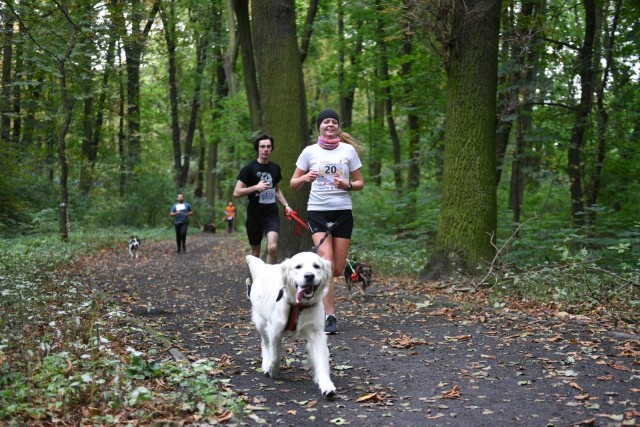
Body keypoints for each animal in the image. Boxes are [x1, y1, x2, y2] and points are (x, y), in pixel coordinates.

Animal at [245, 252, 338, 400]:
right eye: (298, 267)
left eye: (317, 266)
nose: (309, 276)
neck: (298, 306)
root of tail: (266, 267)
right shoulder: (275, 331)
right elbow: (275, 356)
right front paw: (272, 370)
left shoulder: (317, 334)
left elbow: (322, 361)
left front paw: (326, 386)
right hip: (261, 322)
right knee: (264, 344)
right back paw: (266, 364)